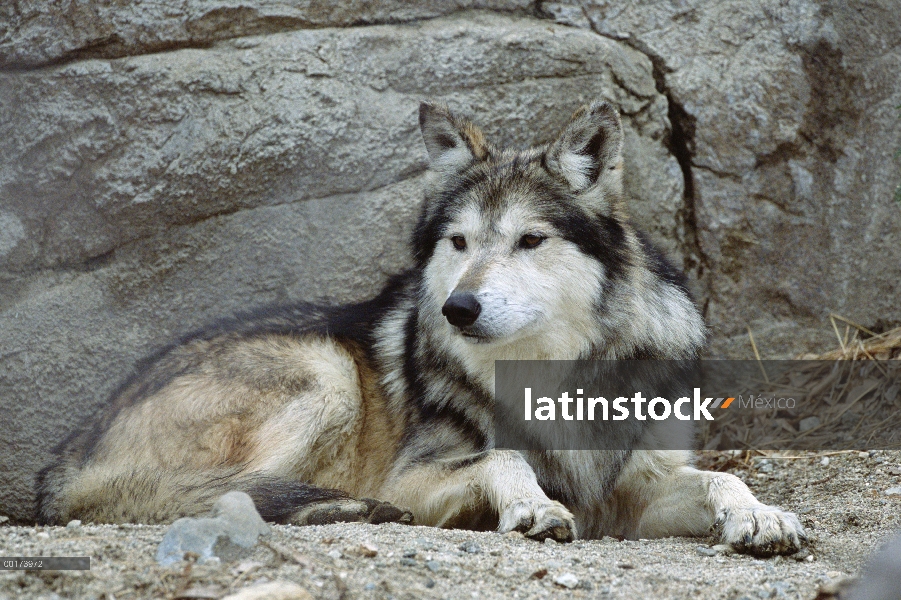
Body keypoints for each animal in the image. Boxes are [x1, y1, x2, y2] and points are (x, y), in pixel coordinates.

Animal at [38, 101, 804, 556]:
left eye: (529, 240)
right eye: (459, 242)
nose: (456, 310)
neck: (553, 378)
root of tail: (64, 458)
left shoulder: (632, 493)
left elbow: (719, 478)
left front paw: (760, 516)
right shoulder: (412, 477)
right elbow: (502, 459)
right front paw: (531, 507)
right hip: (323, 376)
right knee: (216, 496)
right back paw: (343, 510)